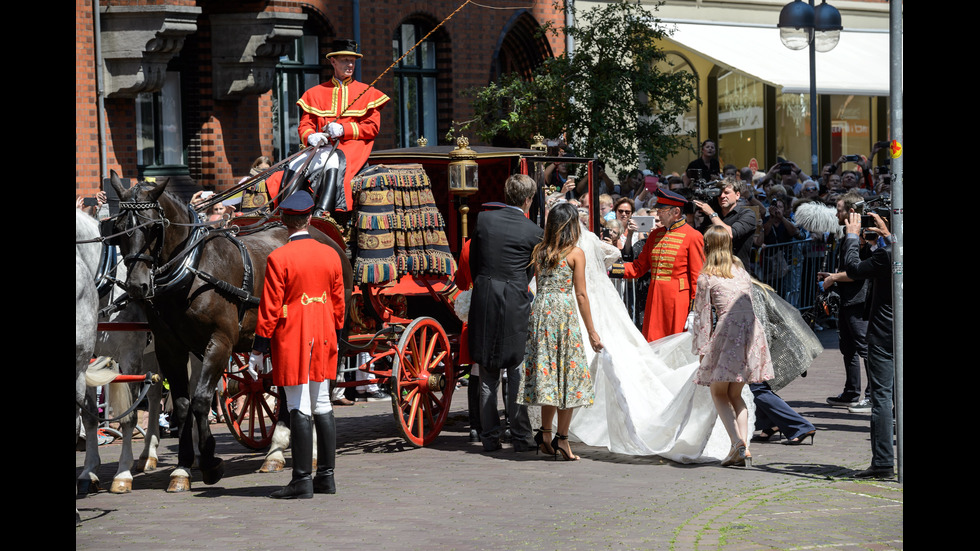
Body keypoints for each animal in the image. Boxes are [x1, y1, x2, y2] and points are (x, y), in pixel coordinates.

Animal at [110, 172, 352, 492]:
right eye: (118, 228)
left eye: (152, 227)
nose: (137, 286)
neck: (193, 269)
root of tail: (329, 238)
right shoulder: (169, 347)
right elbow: (183, 404)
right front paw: (182, 468)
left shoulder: (221, 341)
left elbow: (201, 400)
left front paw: (210, 462)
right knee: (284, 388)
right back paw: (275, 451)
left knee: (317, 386)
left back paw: (309, 453)